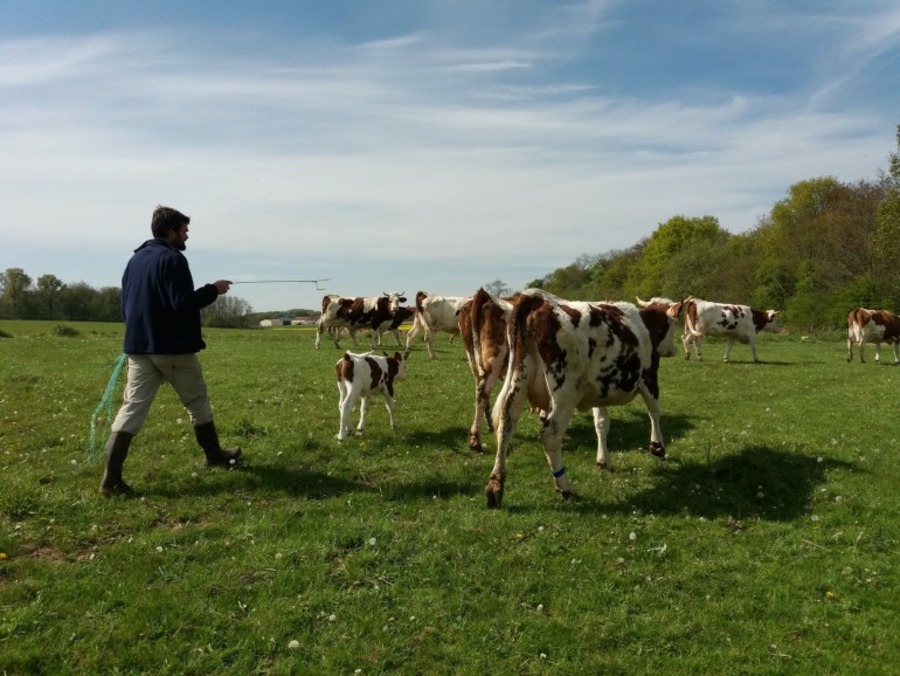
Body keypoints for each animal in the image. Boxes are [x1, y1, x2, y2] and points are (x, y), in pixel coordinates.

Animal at [460, 288, 516, 452]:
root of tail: (484, 295)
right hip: (494, 361)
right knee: (482, 393)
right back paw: (476, 440)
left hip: (473, 358)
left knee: (481, 391)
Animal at [486, 290, 684, 508]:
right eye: (675, 322)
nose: (675, 350)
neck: (646, 324)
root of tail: (537, 300)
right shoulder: (649, 376)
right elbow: (654, 409)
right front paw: (657, 446)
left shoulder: (599, 391)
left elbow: (602, 423)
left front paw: (603, 460)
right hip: (565, 391)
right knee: (550, 435)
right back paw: (565, 488)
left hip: (519, 378)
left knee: (506, 423)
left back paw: (495, 487)